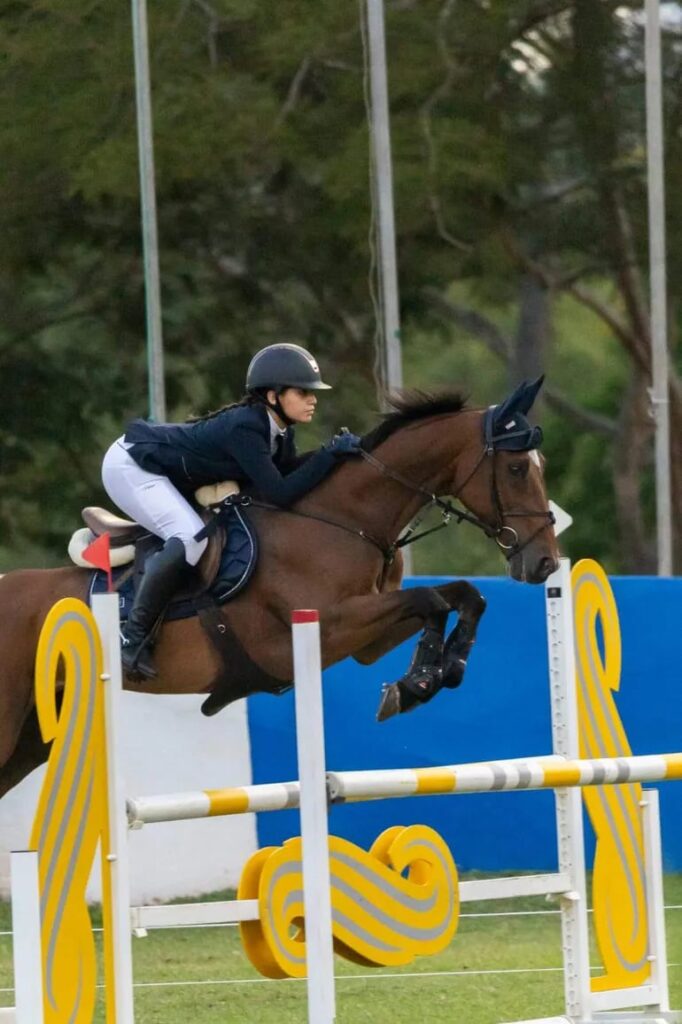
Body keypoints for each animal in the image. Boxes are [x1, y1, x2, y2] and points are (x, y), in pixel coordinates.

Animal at [0, 378, 557, 798]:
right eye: (515, 469)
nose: (546, 562)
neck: (345, 520)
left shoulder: (367, 638)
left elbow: (463, 595)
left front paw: (441, 671)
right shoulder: (324, 627)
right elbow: (430, 599)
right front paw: (418, 682)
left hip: (32, 736)